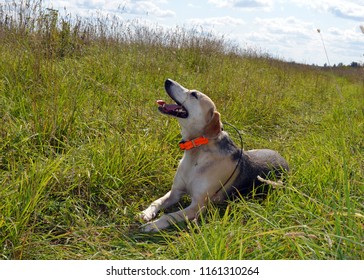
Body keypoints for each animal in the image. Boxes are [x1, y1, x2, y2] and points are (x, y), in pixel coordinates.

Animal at [141, 78, 288, 232]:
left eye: (194, 94)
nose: (168, 80)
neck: (197, 150)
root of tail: (283, 159)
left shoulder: (198, 205)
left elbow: (169, 216)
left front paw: (153, 225)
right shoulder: (175, 192)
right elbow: (157, 201)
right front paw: (147, 213)